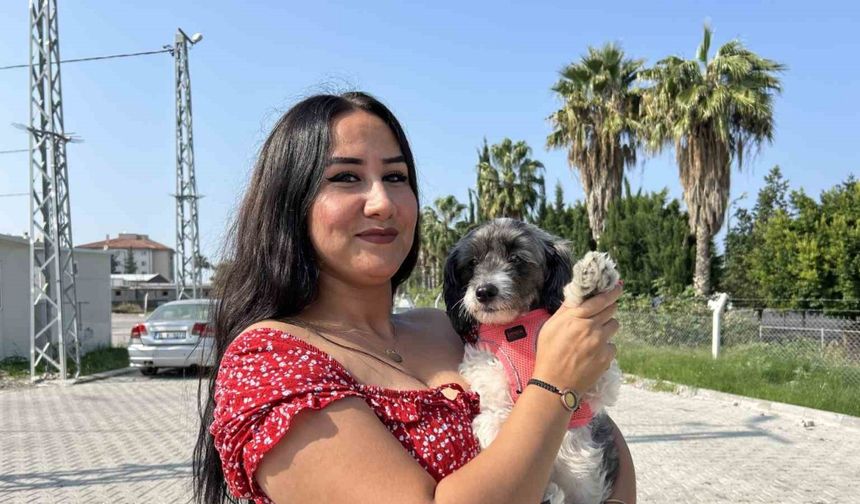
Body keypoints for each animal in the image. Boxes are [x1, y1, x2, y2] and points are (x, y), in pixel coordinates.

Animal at [444, 217, 624, 504]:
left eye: (516, 258)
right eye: (471, 263)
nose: (484, 291)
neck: (515, 327)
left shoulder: (602, 385)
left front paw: (591, 281)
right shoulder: (486, 370)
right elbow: (494, 415)